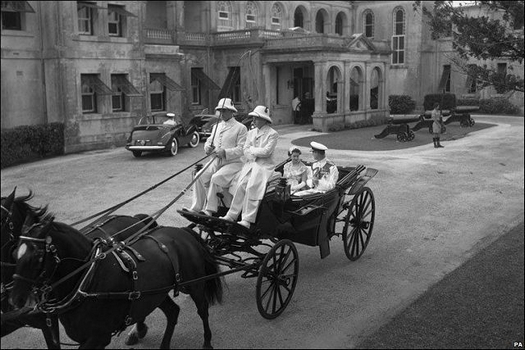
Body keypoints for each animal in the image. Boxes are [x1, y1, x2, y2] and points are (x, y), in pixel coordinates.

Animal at [1, 190, 162, 348]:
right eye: (15, 253)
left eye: (37, 256)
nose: (16, 300)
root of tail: (134, 218)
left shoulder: (46, 320)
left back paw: (137, 330)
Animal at [10, 209, 223, 348]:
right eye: (14, 253)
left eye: (37, 256)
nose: (15, 300)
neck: (87, 280)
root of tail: (181, 231)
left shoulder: (98, 337)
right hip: (154, 295)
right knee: (172, 312)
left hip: (195, 285)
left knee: (202, 310)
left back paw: (207, 342)